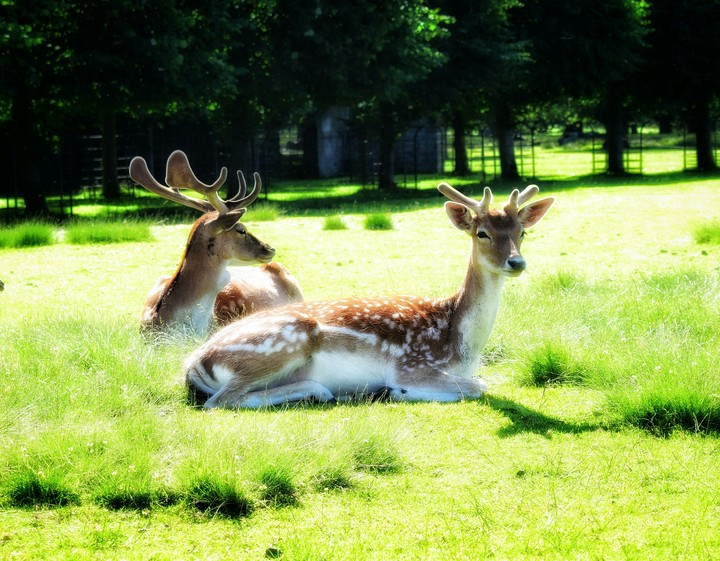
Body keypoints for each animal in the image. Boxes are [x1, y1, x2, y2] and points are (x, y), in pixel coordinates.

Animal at [183, 182, 554, 408]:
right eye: (482, 233)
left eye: (522, 232)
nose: (516, 262)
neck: (461, 345)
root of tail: (194, 364)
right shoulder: (411, 364)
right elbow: (479, 386)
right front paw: (399, 391)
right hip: (282, 343)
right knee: (220, 401)